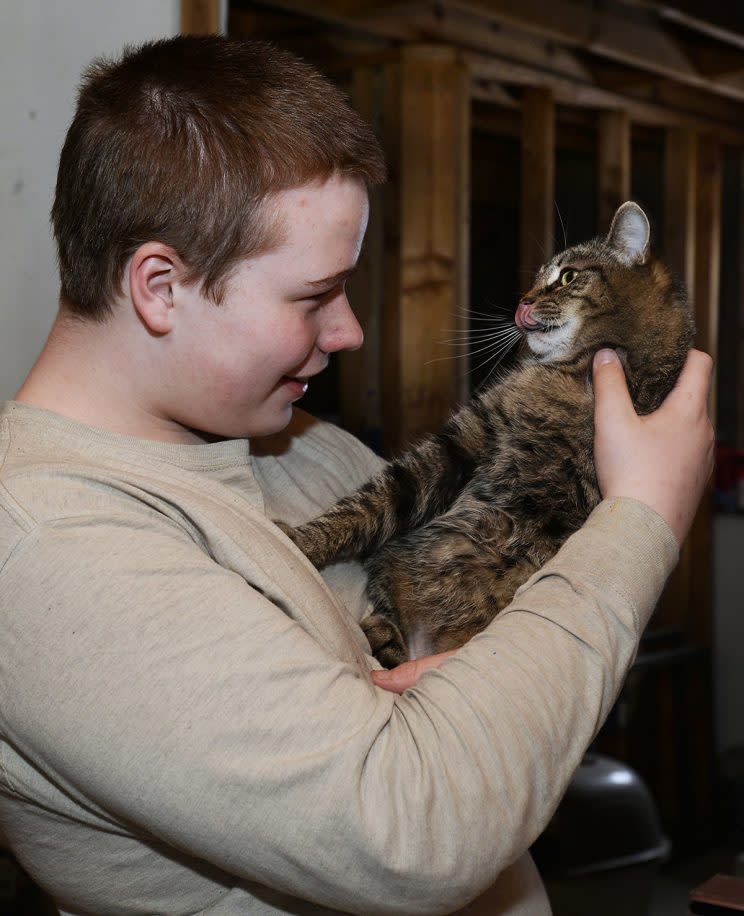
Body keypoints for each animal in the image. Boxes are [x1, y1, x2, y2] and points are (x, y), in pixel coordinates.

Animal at [280, 202, 692, 664]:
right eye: (536, 278)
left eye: (568, 276)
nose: (521, 303)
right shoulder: (468, 437)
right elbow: (368, 506)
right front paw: (301, 544)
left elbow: (368, 503)